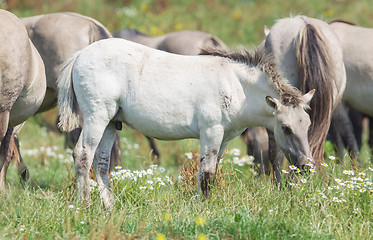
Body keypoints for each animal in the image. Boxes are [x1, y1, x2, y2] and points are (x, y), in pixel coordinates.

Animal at [57, 38, 314, 209]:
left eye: (308, 125)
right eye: (286, 128)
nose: (307, 166)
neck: (236, 86)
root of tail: (80, 55)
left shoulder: (223, 139)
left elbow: (209, 172)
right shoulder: (211, 132)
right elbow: (207, 173)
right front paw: (204, 209)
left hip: (111, 123)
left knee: (101, 163)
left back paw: (109, 208)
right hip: (97, 117)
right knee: (83, 155)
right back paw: (85, 206)